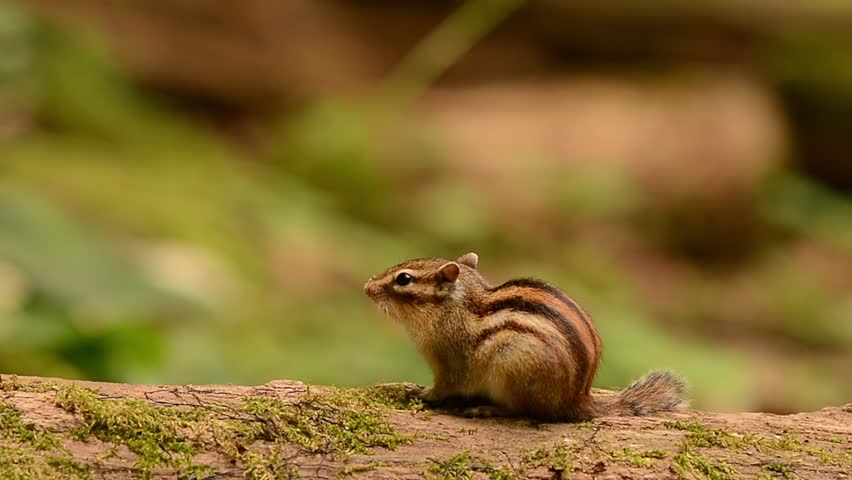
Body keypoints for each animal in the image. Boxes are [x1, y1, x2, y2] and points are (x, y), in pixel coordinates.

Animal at [364, 252, 687, 421]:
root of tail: (576, 400)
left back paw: (487, 408)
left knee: (522, 411)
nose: (367, 286)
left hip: (512, 366)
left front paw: (421, 393)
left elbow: (445, 387)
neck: (453, 308)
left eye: (404, 279)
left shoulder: (450, 361)